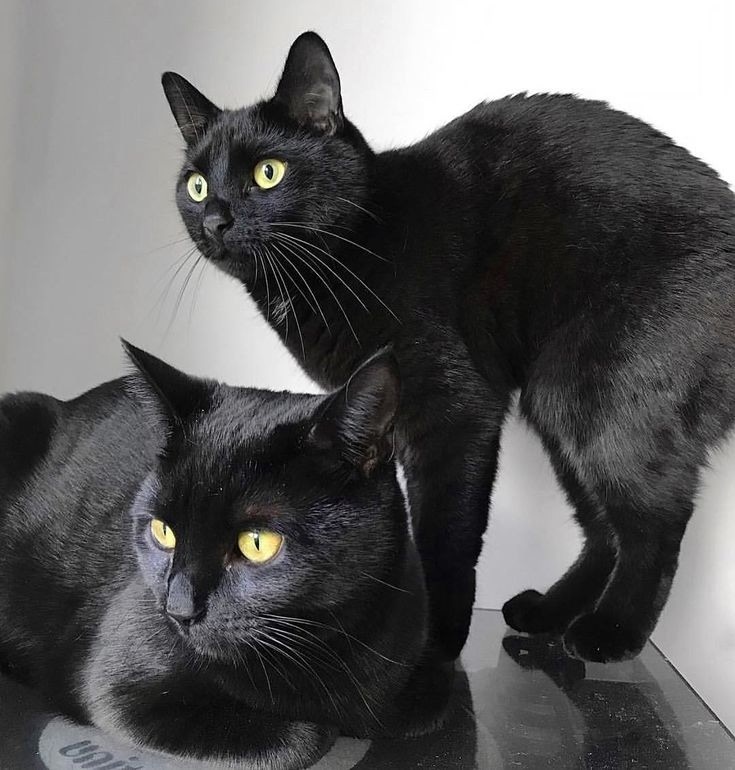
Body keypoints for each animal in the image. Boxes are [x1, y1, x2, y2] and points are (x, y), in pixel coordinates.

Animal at [0, 341, 437, 769]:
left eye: (257, 542)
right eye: (163, 532)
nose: (178, 609)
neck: (322, 643)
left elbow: (424, 705)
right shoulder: (113, 685)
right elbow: (300, 739)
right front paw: (323, 727)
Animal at [161, 31, 735, 664]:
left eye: (269, 173)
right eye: (195, 185)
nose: (215, 219)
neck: (358, 245)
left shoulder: (454, 412)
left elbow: (445, 536)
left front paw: (435, 640)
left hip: (599, 396)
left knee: (655, 523)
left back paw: (611, 630)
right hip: (558, 408)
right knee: (604, 527)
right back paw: (548, 612)